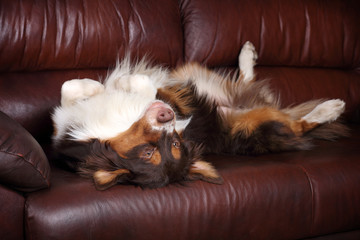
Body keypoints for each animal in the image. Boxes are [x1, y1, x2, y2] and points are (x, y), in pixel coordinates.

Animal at [52, 42, 348, 190]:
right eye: (148, 153)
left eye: (175, 143)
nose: (166, 115)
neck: (120, 125)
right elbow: (71, 91)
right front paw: (107, 87)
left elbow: (73, 87)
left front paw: (110, 84)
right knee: (296, 124)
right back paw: (331, 108)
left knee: (296, 122)